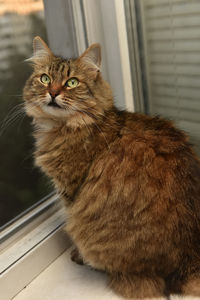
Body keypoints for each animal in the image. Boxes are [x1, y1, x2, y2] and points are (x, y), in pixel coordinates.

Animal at [23, 36, 200, 298]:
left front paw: (77, 255)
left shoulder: (70, 189)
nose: (52, 93)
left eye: (72, 83)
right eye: (45, 78)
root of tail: (186, 262)